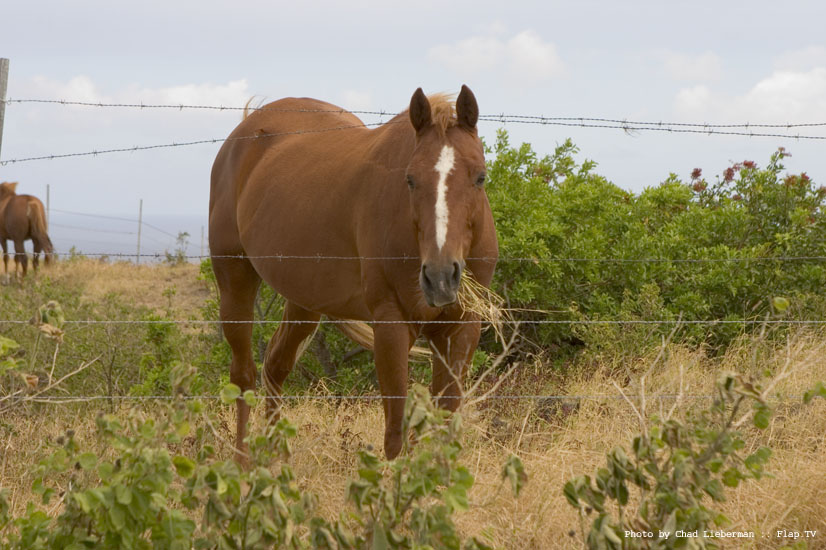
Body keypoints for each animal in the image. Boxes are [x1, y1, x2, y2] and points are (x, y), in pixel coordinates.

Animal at [211, 86, 496, 462]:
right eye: (410, 179)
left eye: (480, 177)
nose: (439, 278)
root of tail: (246, 128)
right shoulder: (390, 325)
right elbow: (396, 434)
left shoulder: (461, 327)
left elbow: (443, 423)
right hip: (235, 280)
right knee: (243, 375)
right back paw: (243, 465)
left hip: (305, 302)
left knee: (275, 364)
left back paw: (275, 462)